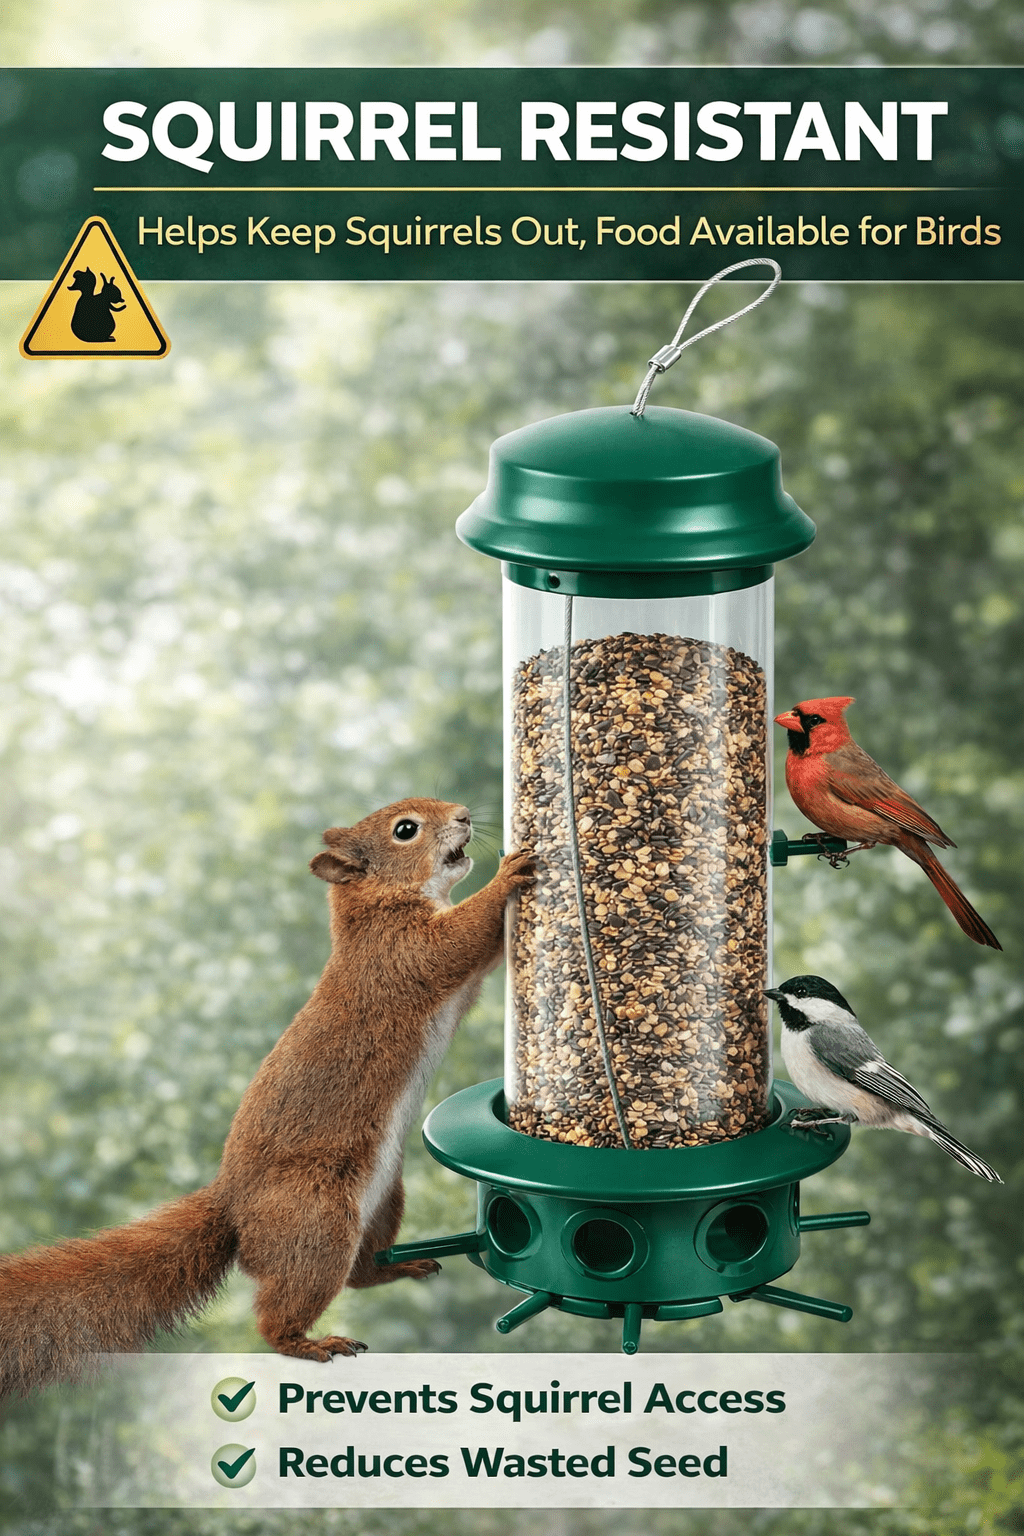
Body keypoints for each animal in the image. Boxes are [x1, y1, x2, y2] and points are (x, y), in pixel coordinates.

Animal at [0, 798, 532, 1396]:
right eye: (405, 830)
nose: (464, 814)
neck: (375, 908)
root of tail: (233, 1208)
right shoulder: (402, 952)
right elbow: (458, 941)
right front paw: (507, 877)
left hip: (383, 1201)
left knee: (359, 1274)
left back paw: (400, 1267)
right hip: (317, 1221)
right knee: (281, 1312)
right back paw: (310, 1342)